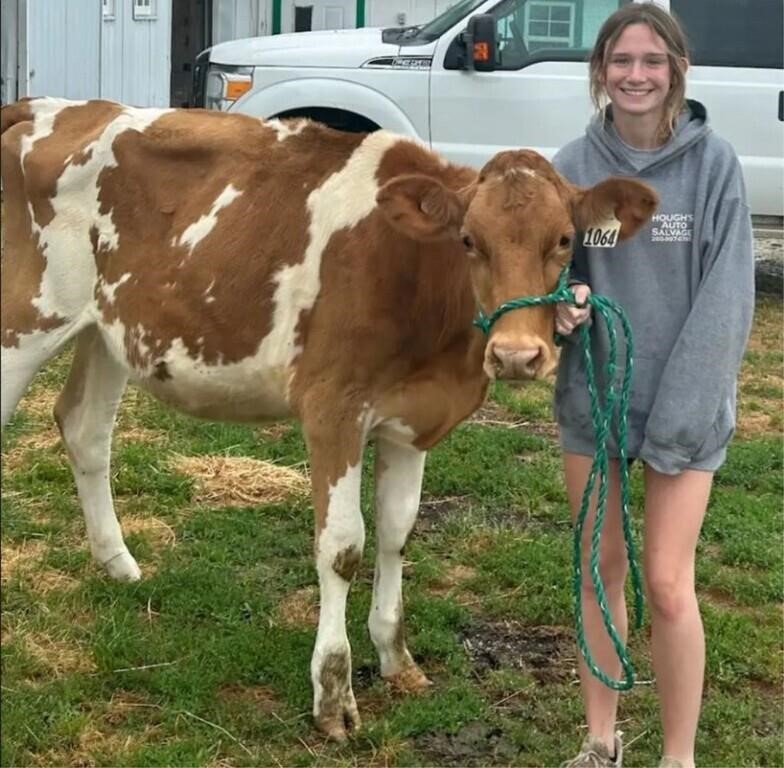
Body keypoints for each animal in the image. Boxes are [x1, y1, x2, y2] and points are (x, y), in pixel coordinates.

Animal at [0, 96, 656, 736]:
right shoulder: (332, 409)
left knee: (85, 429)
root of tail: (46, 105)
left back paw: (119, 565)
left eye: (565, 240)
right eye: (469, 240)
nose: (517, 354)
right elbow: (343, 548)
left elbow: (397, 533)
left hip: (110, 331)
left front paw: (396, 658)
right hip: (25, 322)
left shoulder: (411, 421)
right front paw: (333, 693)